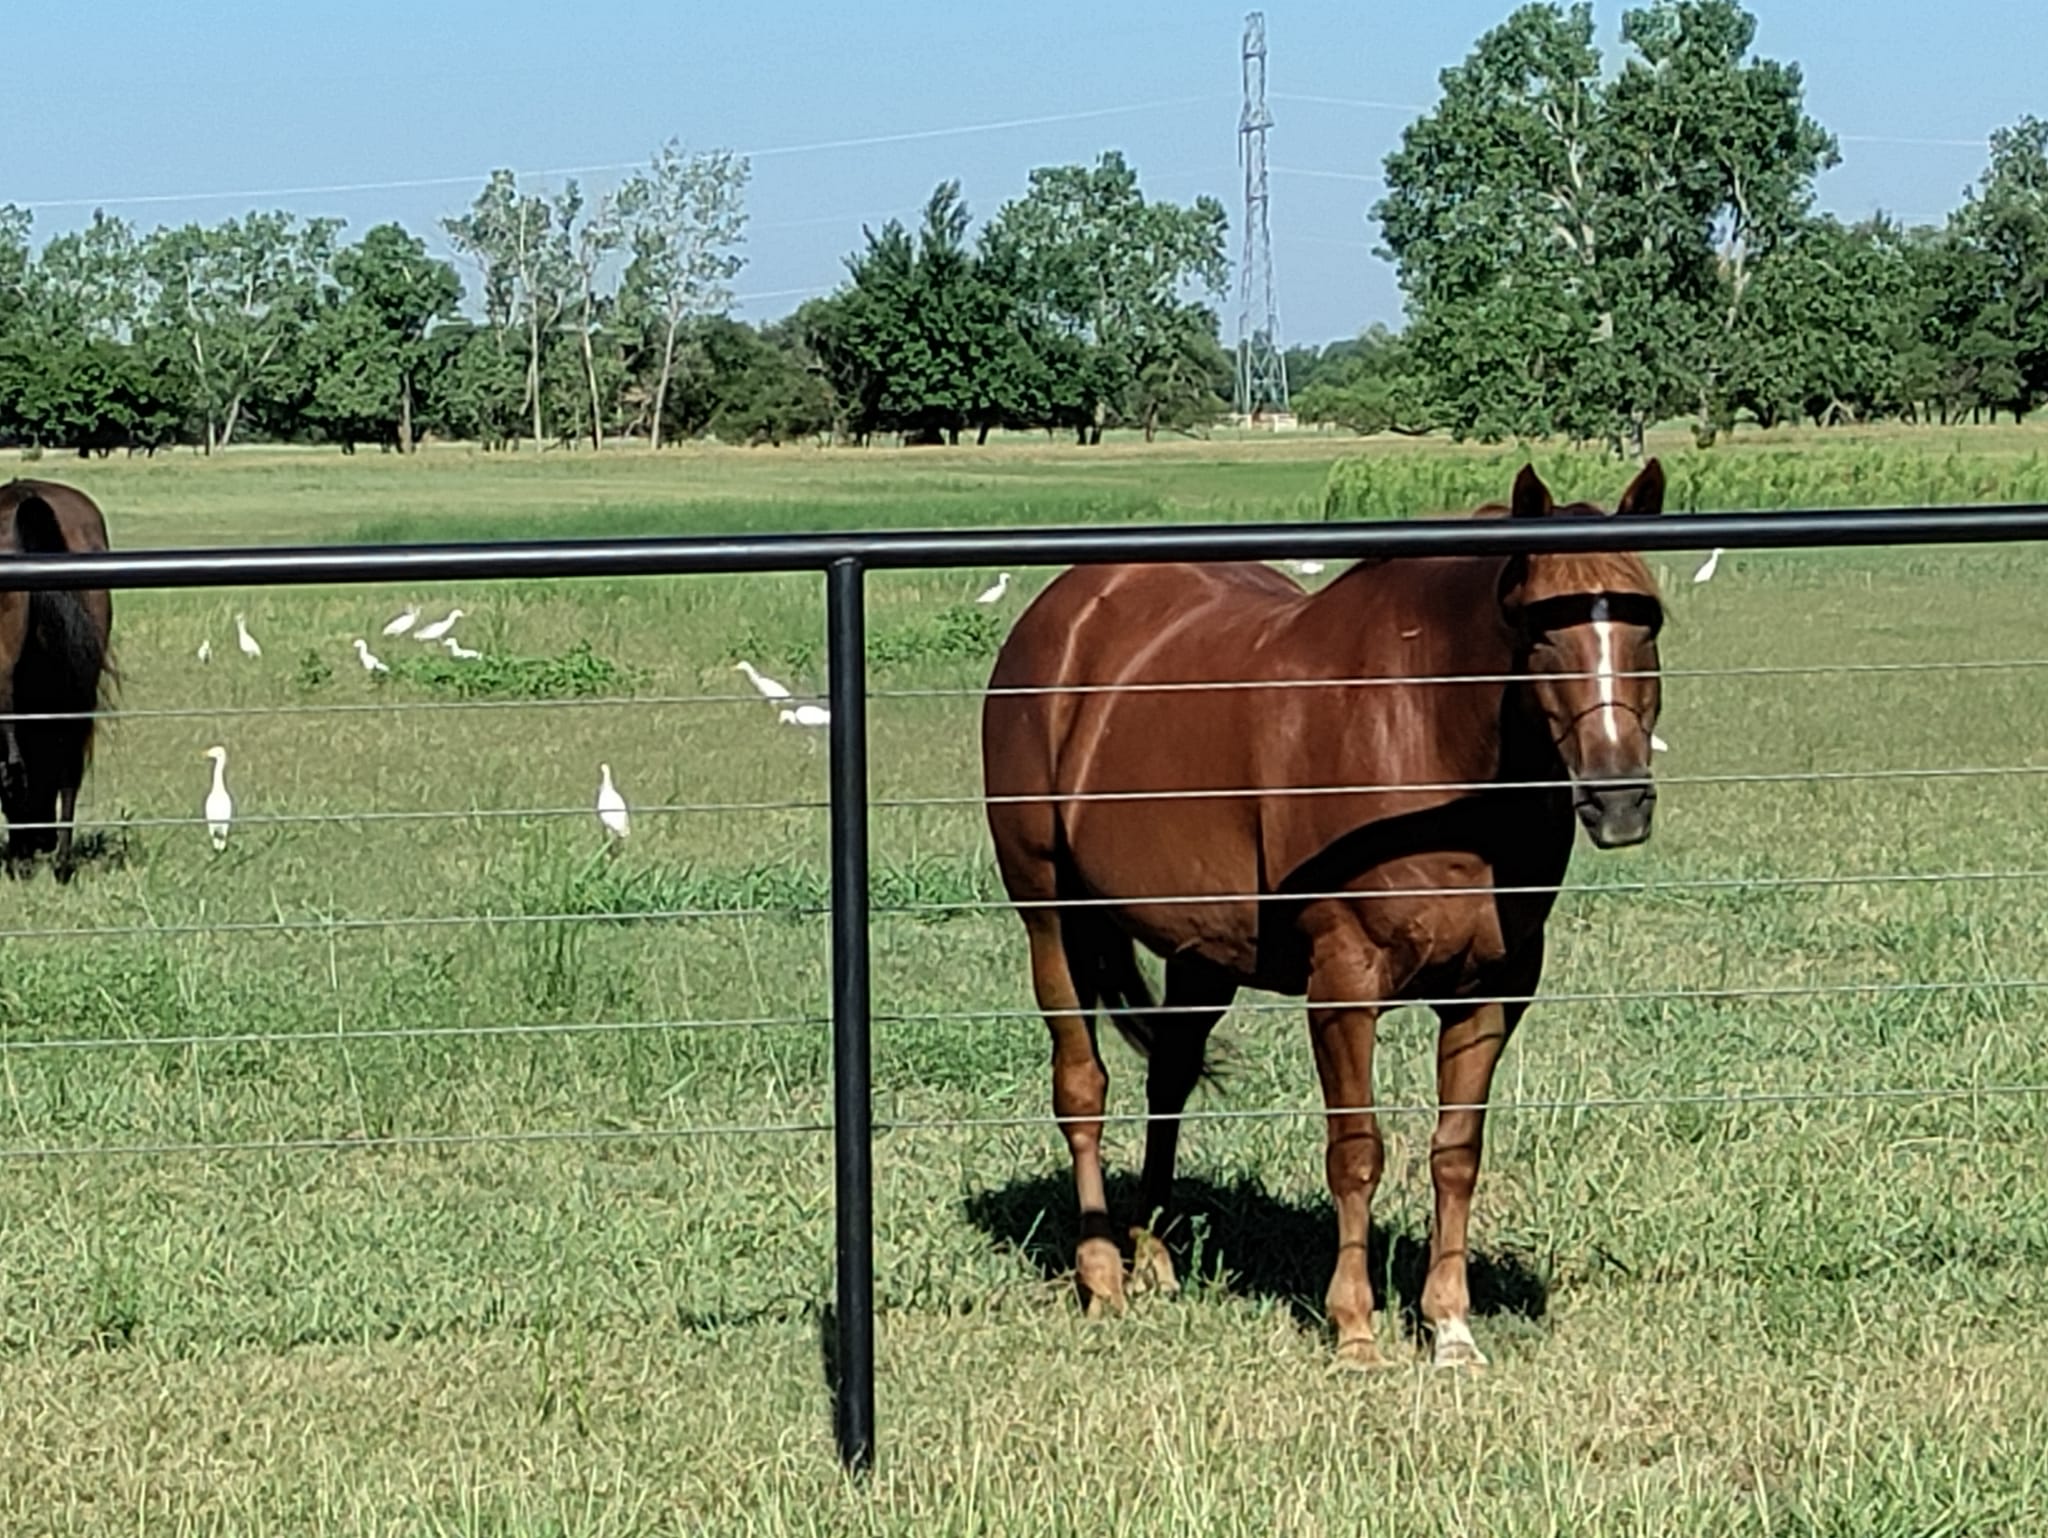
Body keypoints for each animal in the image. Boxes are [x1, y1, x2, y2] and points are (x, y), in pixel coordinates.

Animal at [983, 462, 1671, 1368]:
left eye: (1648, 621)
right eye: (1537, 632)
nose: (1619, 801)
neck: (1424, 734)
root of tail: (1061, 616)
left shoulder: (1491, 990)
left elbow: (1456, 1154)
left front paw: (1450, 1326)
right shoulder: (1344, 984)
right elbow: (1356, 1153)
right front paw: (1355, 1329)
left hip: (1200, 948)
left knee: (1169, 1078)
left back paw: (1156, 1256)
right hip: (1051, 916)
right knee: (1082, 1085)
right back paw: (1102, 1278)